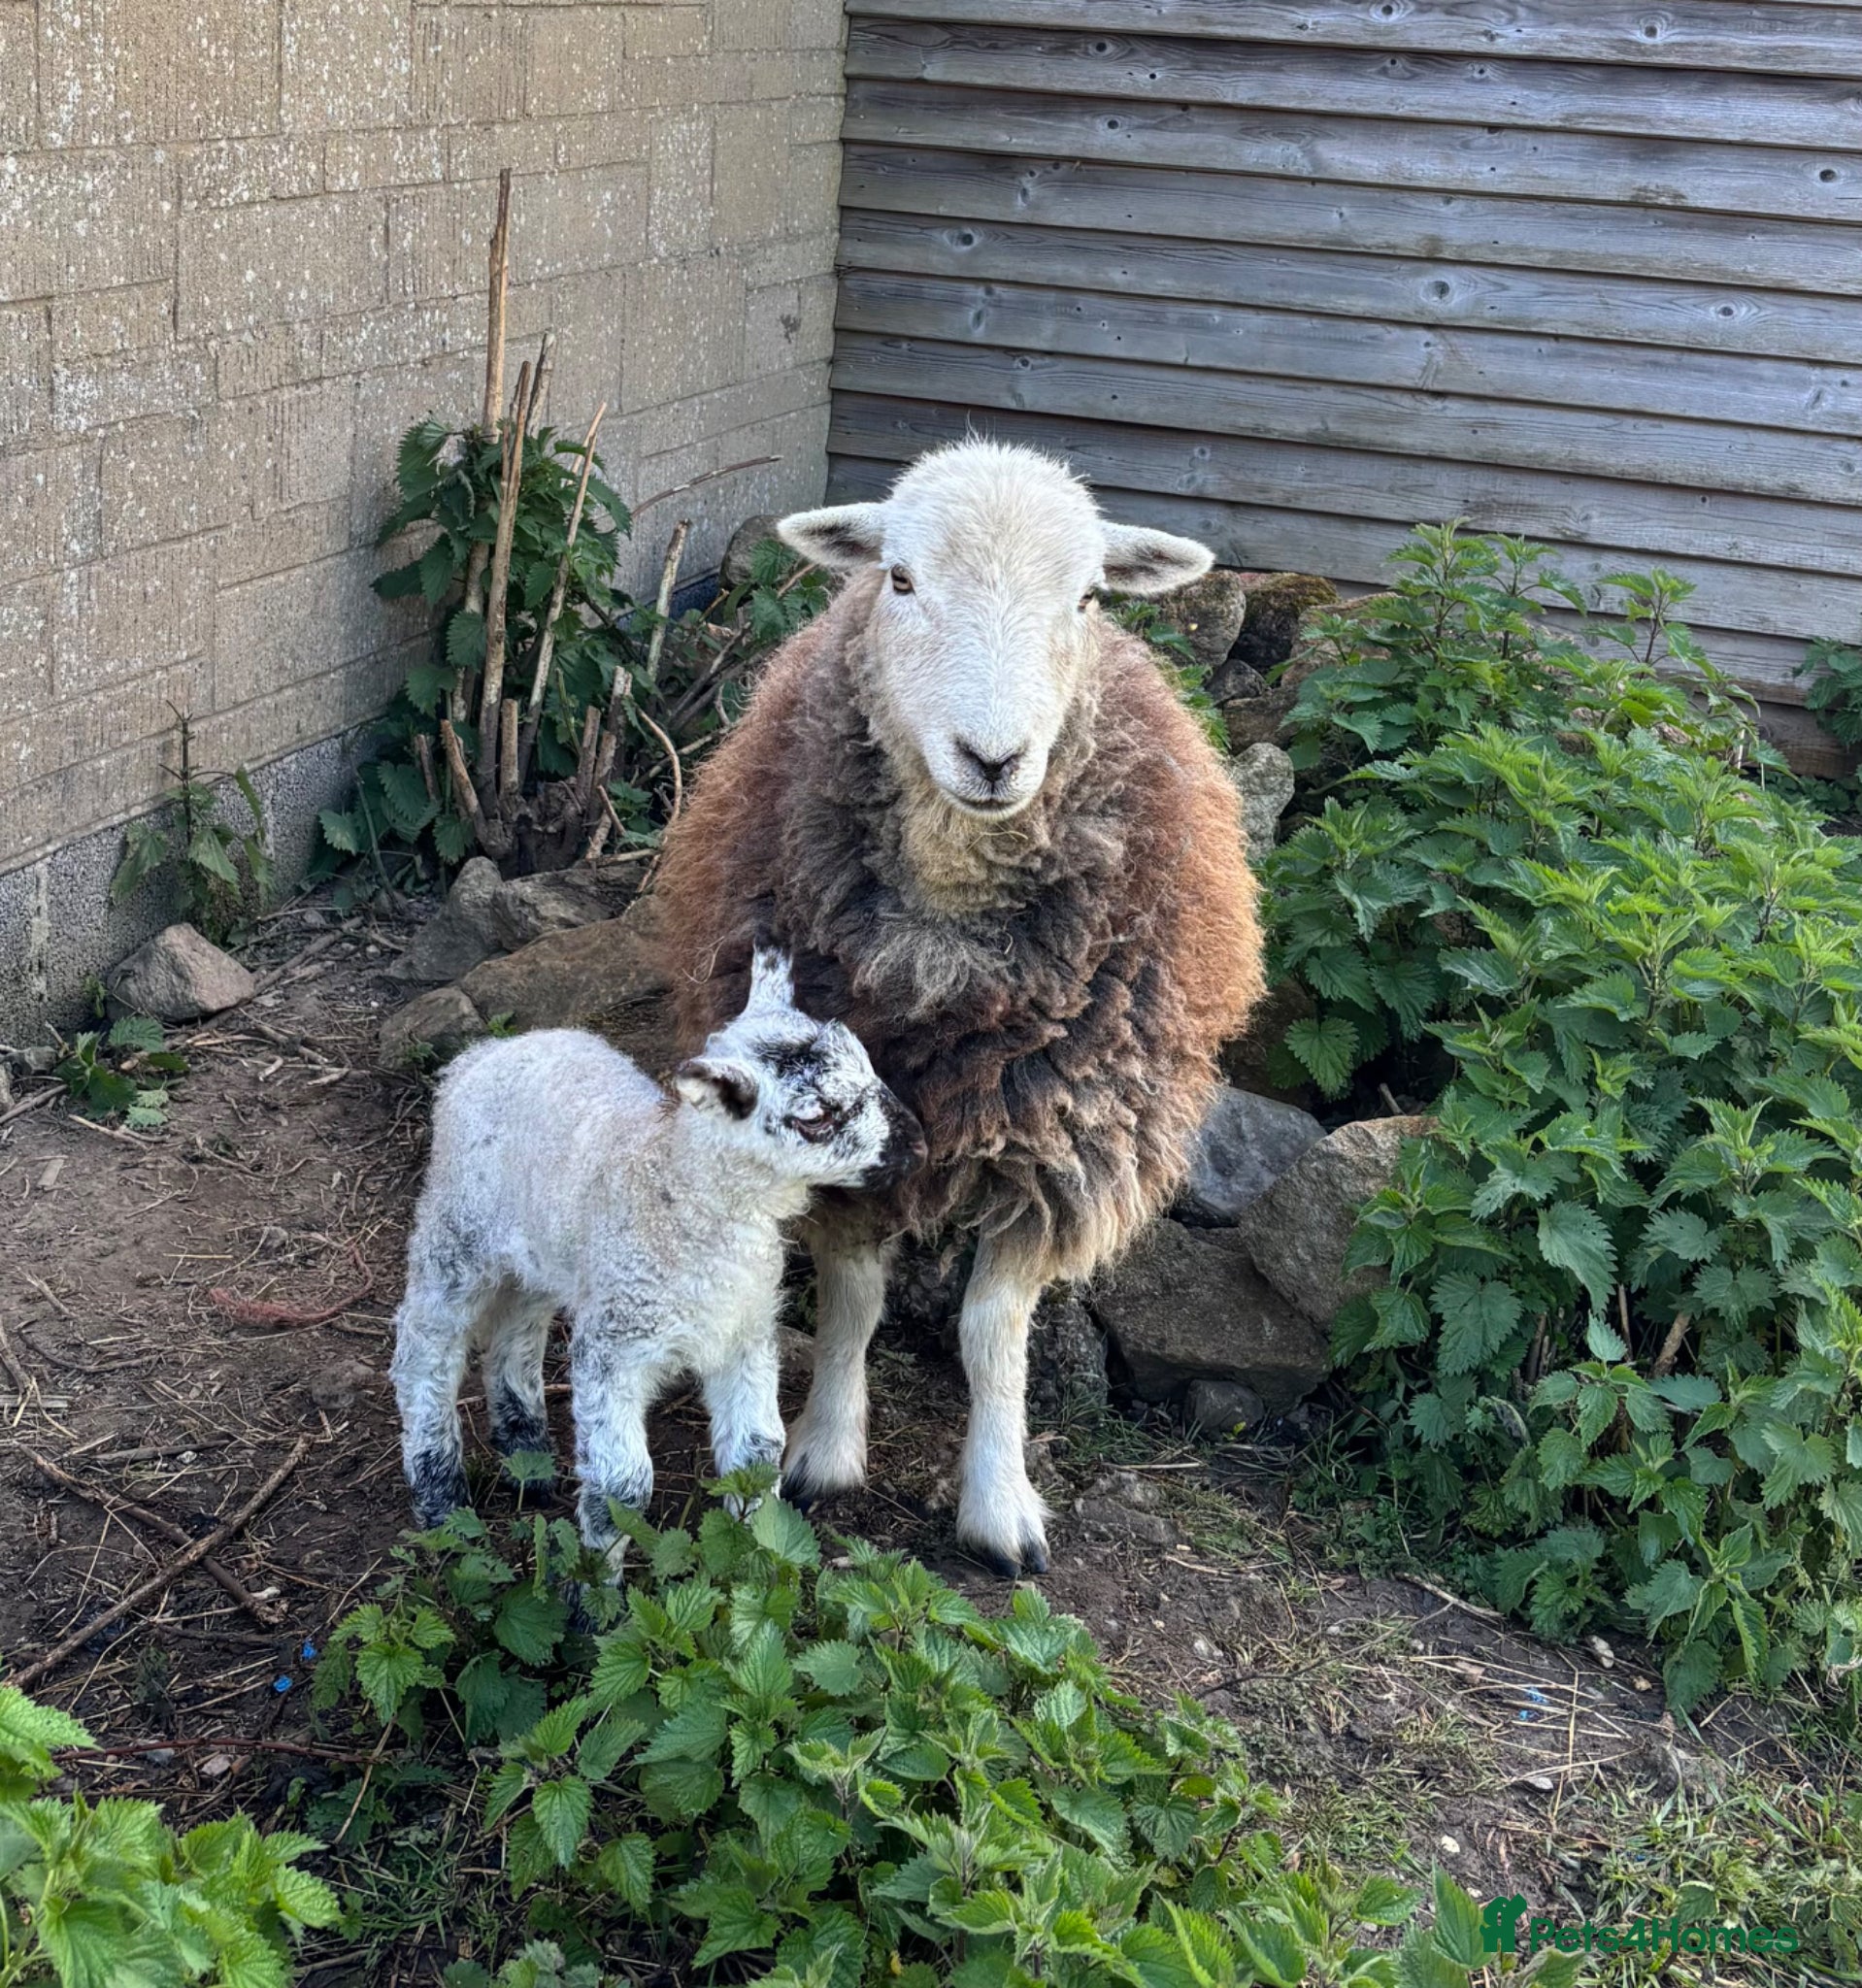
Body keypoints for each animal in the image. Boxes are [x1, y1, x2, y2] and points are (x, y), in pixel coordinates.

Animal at [388, 947, 925, 1575]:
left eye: (868, 1064)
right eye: (815, 1117)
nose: (918, 1144)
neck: (672, 1185)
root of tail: (487, 1053)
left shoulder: (745, 1331)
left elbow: (757, 1455)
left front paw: (755, 1560)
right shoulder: (614, 1348)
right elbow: (623, 1488)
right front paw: (592, 1592)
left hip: (545, 1250)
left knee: (515, 1334)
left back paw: (529, 1460)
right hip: (455, 1231)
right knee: (426, 1349)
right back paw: (441, 1502)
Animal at [653, 440, 1264, 1577]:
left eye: (1087, 596)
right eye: (899, 579)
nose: (993, 758)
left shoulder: (1055, 1135)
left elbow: (992, 1334)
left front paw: (998, 1505)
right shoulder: (841, 1135)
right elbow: (853, 1299)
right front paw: (824, 1451)